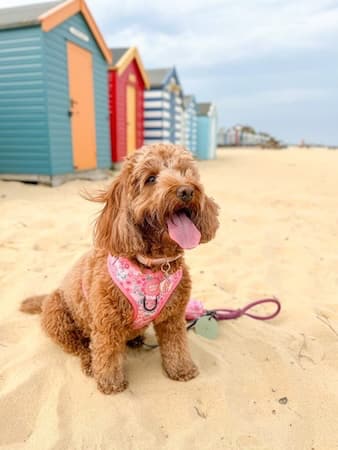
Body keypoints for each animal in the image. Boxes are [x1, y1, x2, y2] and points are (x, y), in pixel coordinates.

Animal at [20, 143, 219, 394]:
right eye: (151, 178)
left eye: (186, 172)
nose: (186, 191)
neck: (153, 266)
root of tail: (47, 298)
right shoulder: (107, 323)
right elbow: (107, 354)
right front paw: (111, 383)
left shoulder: (173, 317)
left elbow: (176, 344)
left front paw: (182, 369)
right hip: (58, 317)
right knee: (81, 347)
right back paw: (90, 363)